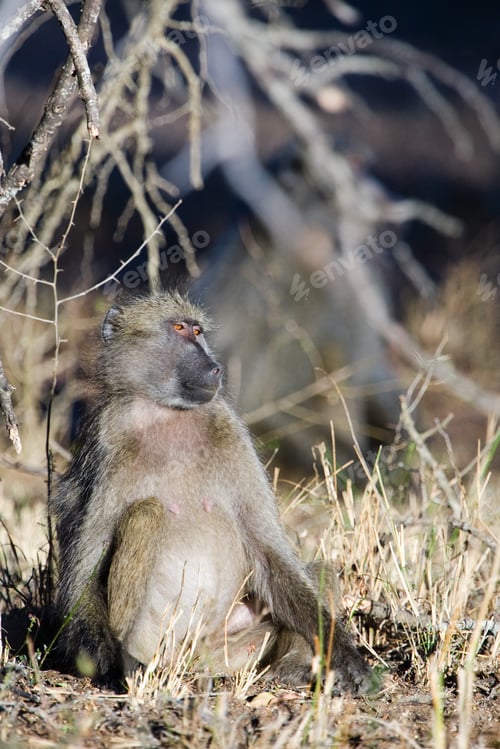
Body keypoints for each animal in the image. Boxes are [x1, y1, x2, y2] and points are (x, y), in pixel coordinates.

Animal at [51, 291, 372, 692]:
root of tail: (189, 661)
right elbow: (83, 573)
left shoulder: (230, 431)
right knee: (146, 514)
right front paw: (108, 666)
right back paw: (133, 665)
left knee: (319, 572)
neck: (167, 414)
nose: (215, 367)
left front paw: (343, 655)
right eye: (178, 328)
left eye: (198, 331)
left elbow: (270, 555)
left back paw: (293, 669)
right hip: (155, 640)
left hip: (224, 648)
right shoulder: (106, 441)